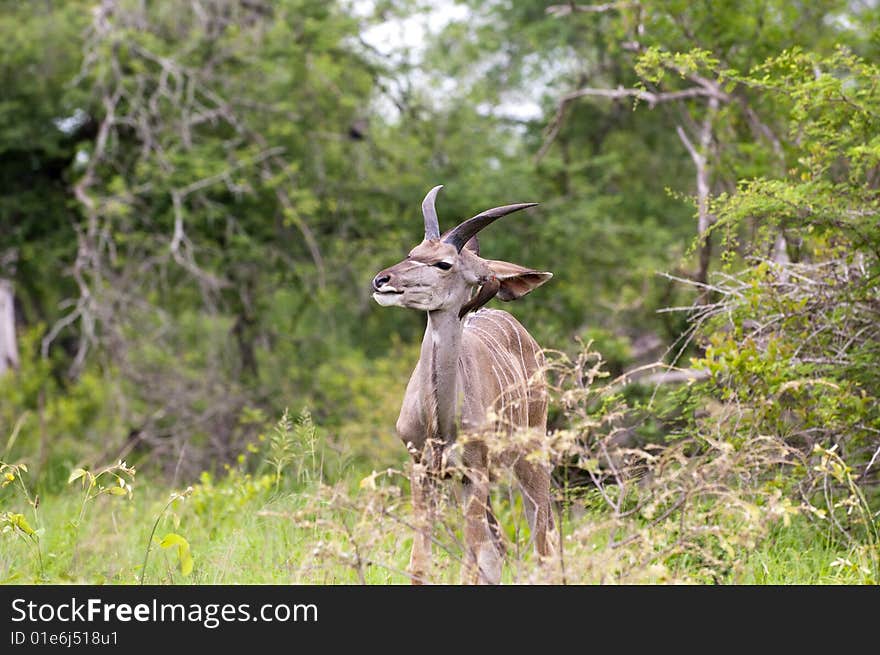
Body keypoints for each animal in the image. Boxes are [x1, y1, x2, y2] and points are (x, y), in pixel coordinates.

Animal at [372, 184, 556, 584]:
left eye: (444, 264)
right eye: (412, 252)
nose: (382, 281)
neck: (440, 424)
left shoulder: (474, 472)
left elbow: (472, 559)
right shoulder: (423, 468)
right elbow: (421, 562)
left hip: (529, 455)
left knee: (541, 541)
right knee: (500, 548)